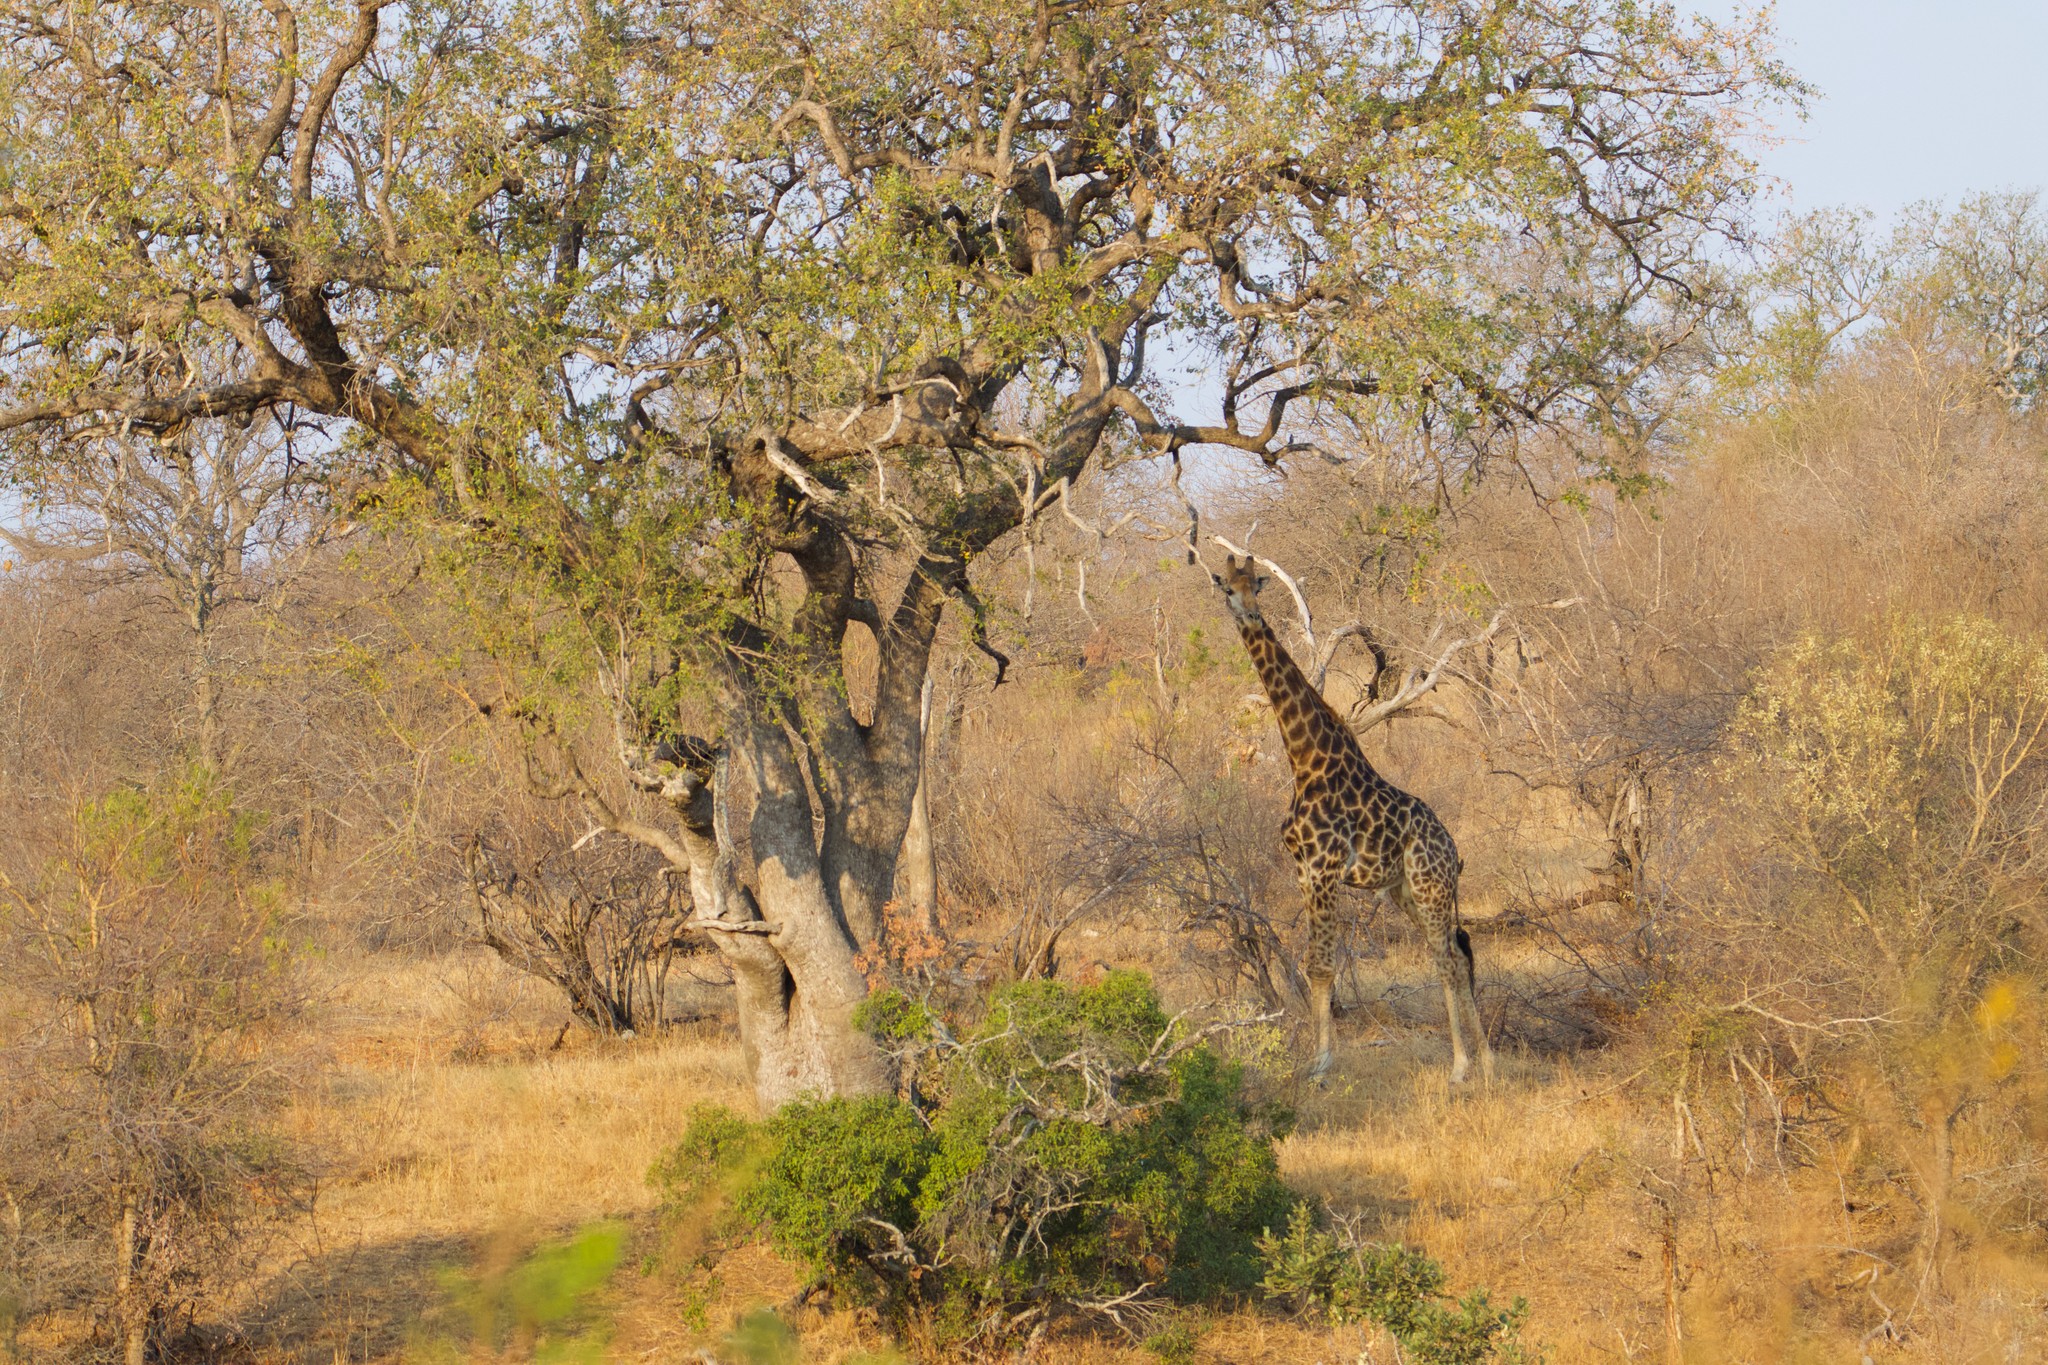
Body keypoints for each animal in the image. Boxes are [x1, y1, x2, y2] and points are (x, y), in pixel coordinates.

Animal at [1212, 554, 1495, 1085]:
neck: (1304, 759)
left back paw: (1461, 1066)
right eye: (1227, 589)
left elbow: (1321, 966)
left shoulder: (1325, 868)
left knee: (1449, 960)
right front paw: (1314, 1059)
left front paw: (1320, 1064)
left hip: (1429, 886)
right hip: (1406, 891)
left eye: (1256, 584)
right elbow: (1313, 964)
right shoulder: (1303, 869)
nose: (1251, 615)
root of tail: (1454, 850)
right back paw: (1484, 1058)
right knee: (1453, 952)